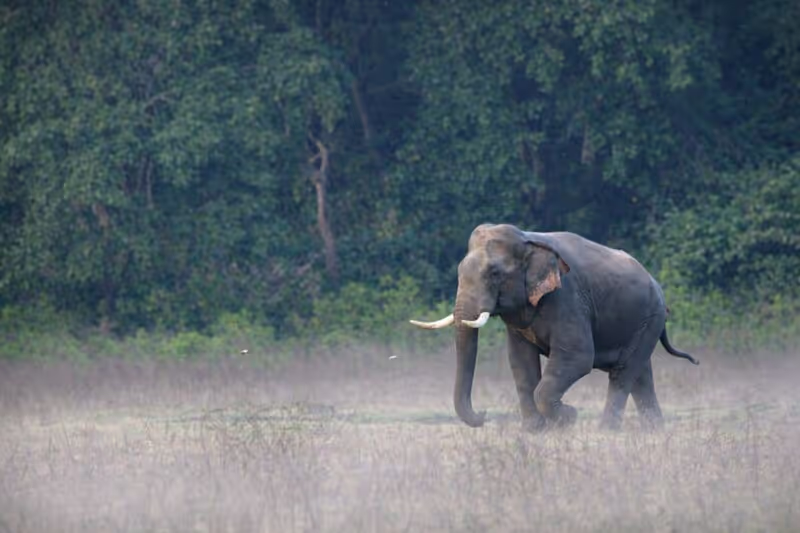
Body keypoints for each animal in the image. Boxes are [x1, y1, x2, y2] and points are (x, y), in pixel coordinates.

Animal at [410, 223, 698, 431]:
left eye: (494, 273)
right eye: (459, 271)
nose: (484, 414)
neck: (527, 239)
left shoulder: (568, 299)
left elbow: (578, 358)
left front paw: (569, 417)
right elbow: (521, 362)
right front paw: (535, 430)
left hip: (650, 318)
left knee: (623, 374)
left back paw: (606, 429)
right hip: (644, 322)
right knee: (641, 376)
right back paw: (654, 430)